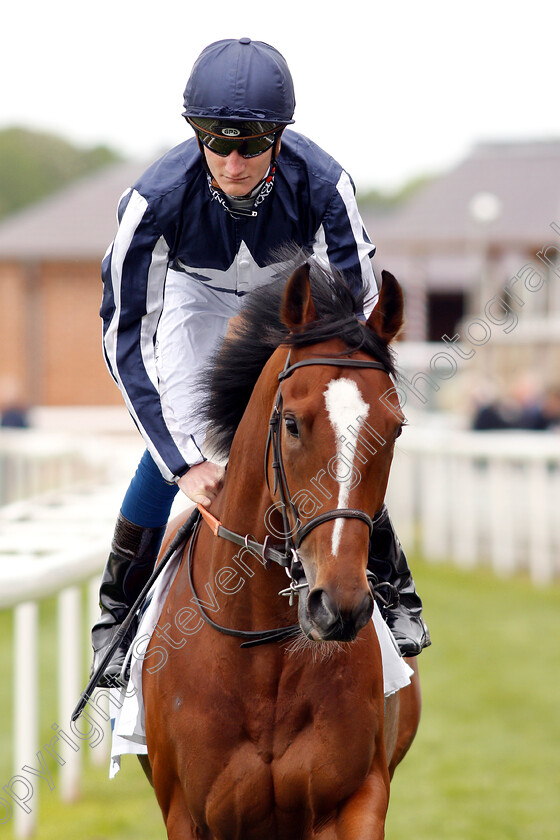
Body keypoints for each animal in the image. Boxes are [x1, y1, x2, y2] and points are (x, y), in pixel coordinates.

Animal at [142, 262, 422, 840]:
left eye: (394, 429)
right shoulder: (188, 814)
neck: (263, 659)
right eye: (291, 423)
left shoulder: (359, 798)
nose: (339, 605)